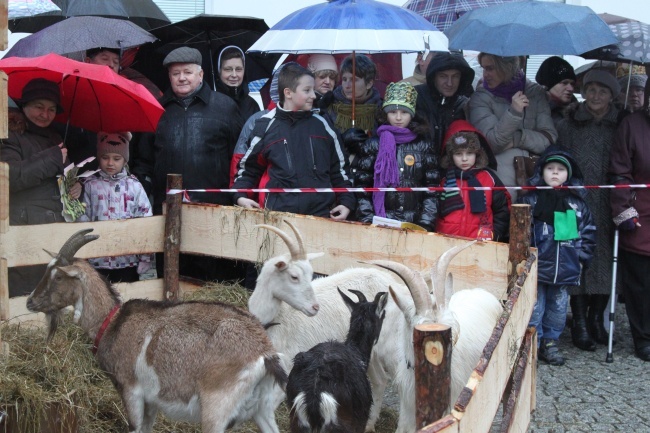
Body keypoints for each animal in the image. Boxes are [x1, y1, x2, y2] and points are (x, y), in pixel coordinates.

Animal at [27, 228, 286, 430]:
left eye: (58, 277)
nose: (30, 301)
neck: (112, 322)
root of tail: (264, 354)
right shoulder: (151, 402)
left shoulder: (131, 391)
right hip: (262, 410)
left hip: (216, 411)